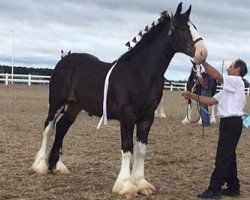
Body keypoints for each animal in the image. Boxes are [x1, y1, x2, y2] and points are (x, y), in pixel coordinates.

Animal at [31, 2, 207, 198]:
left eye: (195, 27)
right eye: (182, 28)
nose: (202, 53)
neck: (141, 72)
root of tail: (64, 61)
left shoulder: (147, 118)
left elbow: (141, 150)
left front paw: (141, 184)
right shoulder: (127, 117)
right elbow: (127, 148)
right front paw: (126, 186)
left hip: (74, 106)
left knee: (62, 127)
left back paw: (56, 166)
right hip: (56, 104)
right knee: (48, 128)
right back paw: (41, 166)